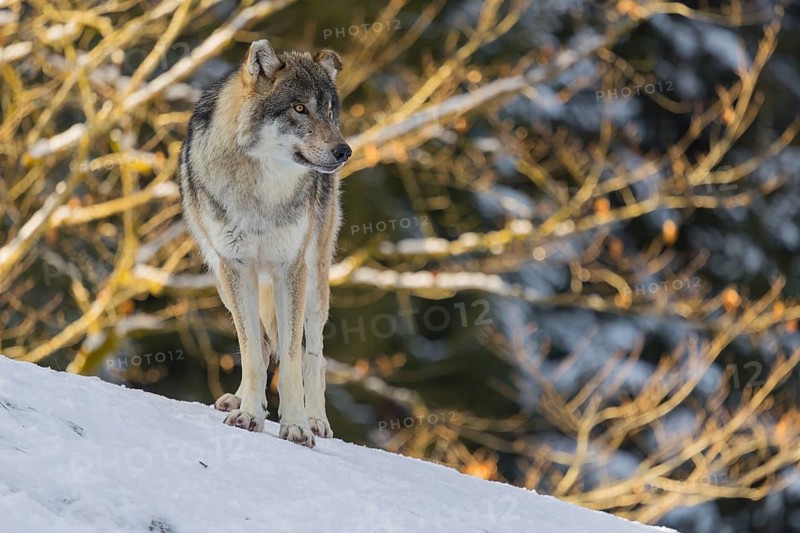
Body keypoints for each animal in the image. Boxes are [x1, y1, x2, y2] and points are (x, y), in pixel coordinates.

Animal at [178, 39, 351, 447]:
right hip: (223, 279)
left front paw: (297, 426)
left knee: (313, 355)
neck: (261, 192)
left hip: (315, 278)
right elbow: (253, 353)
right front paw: (249, 414)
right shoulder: (236, 266)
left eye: (329, 111)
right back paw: (240, 399)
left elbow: (291, 360)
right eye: (299, 108)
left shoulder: (291, 268)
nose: (344, 151)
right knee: (259, 340)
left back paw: (316, 419)